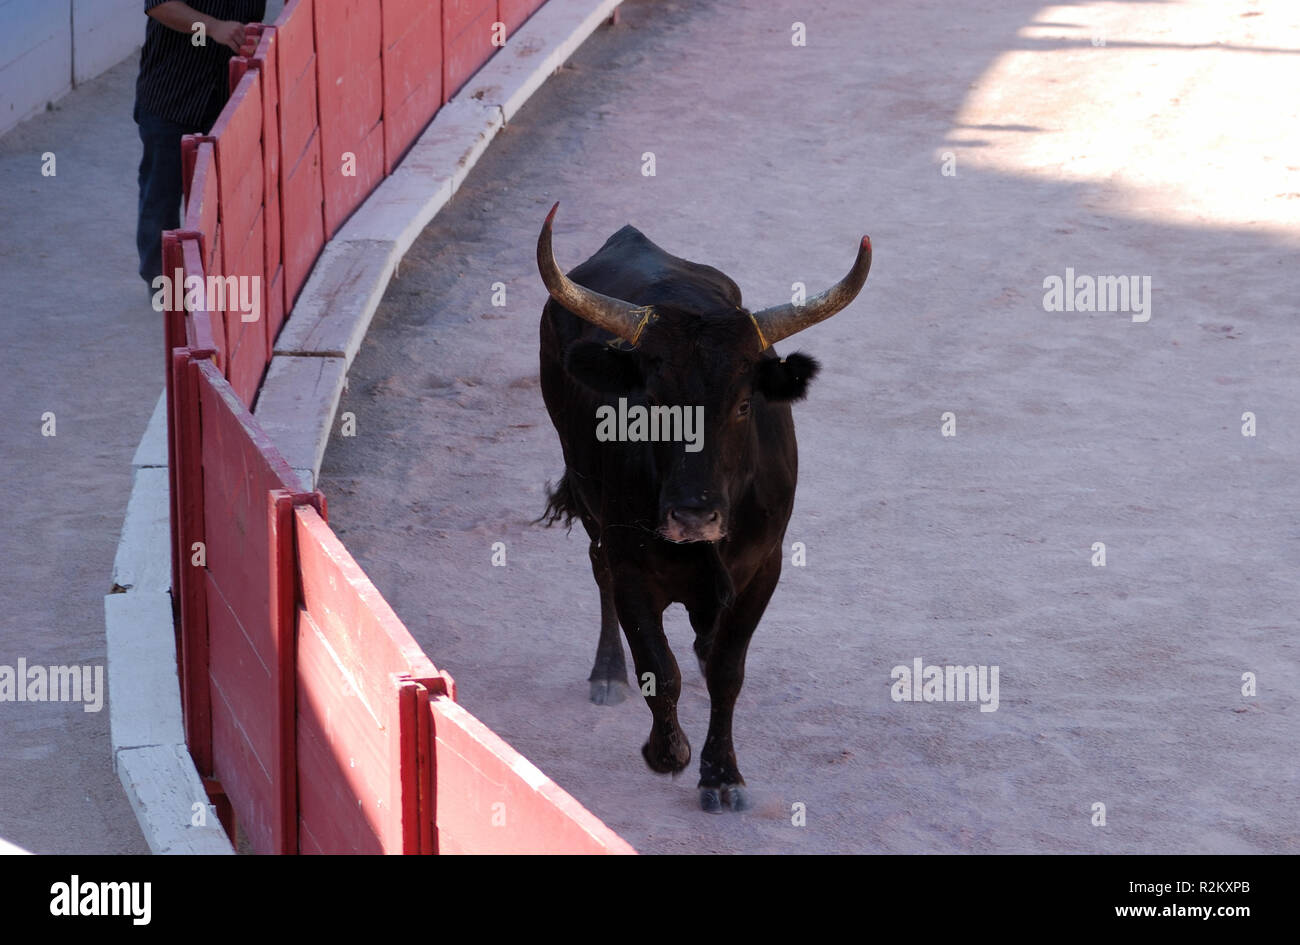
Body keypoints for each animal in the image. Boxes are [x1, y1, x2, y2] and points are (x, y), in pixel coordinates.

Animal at [536, 204, 871, 812]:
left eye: (742, 404)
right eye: (649, 405)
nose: (692, 516)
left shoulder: (765, 567)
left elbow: (726, 670)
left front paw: (722, 775)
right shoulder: (631, 567)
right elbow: (658, 668)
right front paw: (669, 753)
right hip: (588, 497)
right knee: (598, 572)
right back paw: (607, 673)